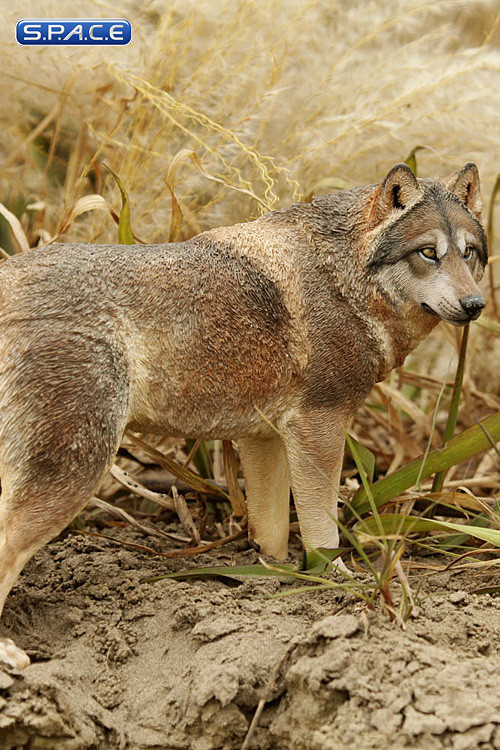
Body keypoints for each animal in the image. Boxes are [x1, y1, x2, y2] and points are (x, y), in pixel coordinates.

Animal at [0, 162, 487, 669]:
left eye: (469, 253)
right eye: (428, 252)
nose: (475, 305)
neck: (343, 280)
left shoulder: (263, 438)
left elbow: (270, 534)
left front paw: (269, 582)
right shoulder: (319, 426)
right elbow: (322, 534)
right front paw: (335, 583)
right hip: (75, 473)